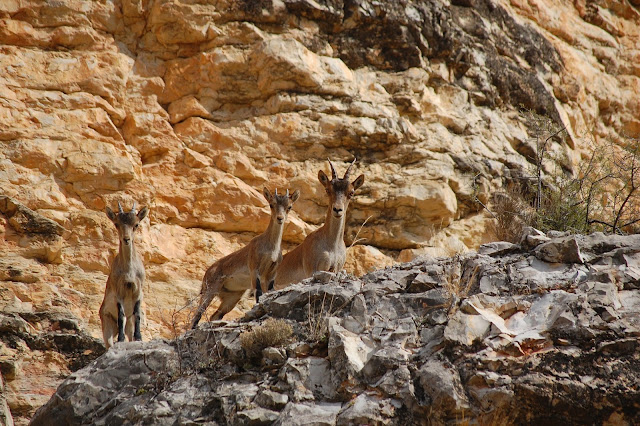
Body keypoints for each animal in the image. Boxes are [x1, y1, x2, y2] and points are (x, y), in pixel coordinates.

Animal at [99, 203, 149, 350]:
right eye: (116, 224)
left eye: (136, 224)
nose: (126, 239)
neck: (129, 272)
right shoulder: (119, 291)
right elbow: (121, 315)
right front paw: (120, 339)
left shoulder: (138, 291)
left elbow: (137, 314)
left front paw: (139, 337)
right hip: (107, 325)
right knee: (108, 343)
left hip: (129, 325)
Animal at [190, 187, 300, 330]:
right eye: (271, 204)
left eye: (289, 206)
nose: (280, 218)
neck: (270, 248)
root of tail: (207, 273)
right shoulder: (254, 269)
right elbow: (258, 293)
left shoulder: (271, 274)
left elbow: (268, 292)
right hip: (210, 290)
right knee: (196, 316)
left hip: (232, 298)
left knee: (216, 315)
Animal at [276, 160, 364, 290]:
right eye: (328, 190)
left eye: (351, 192)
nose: (337, 210)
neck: (332, 245)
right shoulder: (313, 269)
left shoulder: (335, 268)